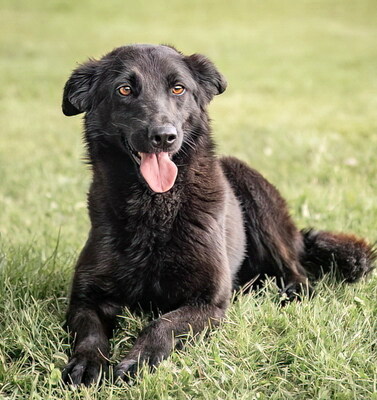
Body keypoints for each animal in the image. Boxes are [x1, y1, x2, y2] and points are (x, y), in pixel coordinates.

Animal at [61, 45, 374, 386]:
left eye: (178, 88)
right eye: (124, 89)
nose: (164, 136)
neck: (154, 211)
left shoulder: (209, 303)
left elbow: (162, 324)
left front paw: (139, 360)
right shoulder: (85, 299)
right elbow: (89, 333)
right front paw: (86, 363)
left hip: (253, 192)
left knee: (299, 273)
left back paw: (287, 291)